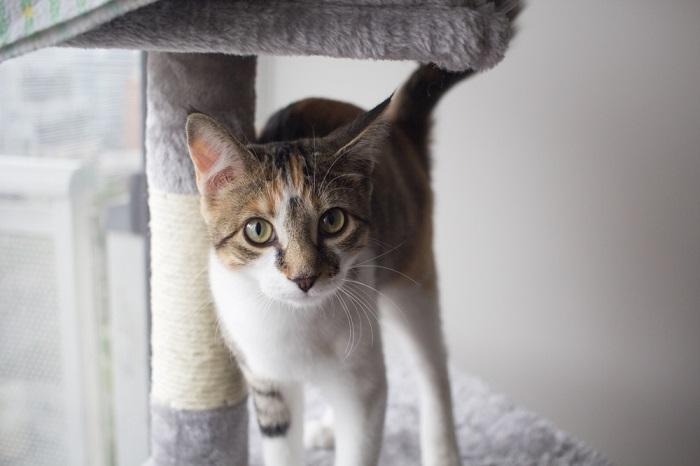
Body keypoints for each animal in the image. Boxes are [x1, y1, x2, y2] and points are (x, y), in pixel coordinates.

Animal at [186, 64, 470, 466]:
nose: (304, 277)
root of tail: (400, 127)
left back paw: (442, 450)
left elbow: (363, 429)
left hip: (411, 273)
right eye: (257, 230)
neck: (294, 319)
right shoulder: (267, 380)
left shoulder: (362, 381)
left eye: (333, 221)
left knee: (433, 367)